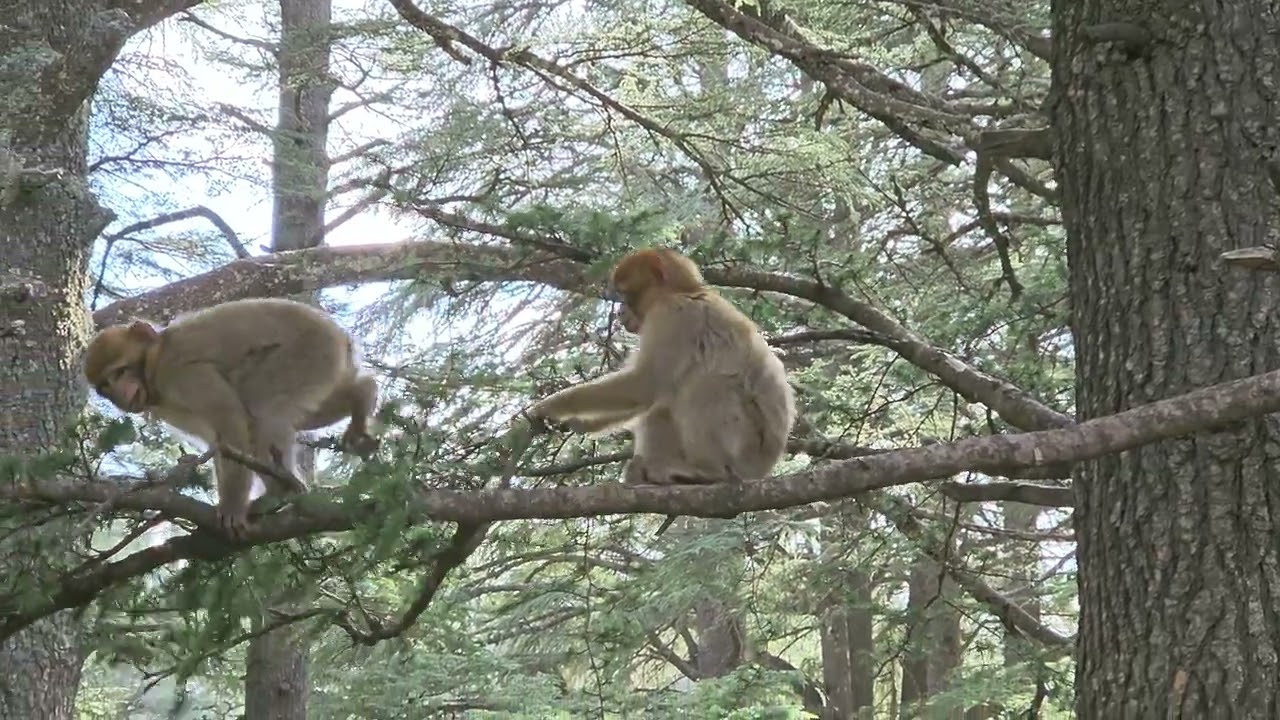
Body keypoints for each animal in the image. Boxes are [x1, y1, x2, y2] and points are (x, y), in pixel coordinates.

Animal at [83, 297, 379, 540]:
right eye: (105, 386)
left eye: (120, 371)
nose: (119, 395)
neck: (154, 363)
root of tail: (342, 337)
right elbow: (217, 442)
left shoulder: (181, 374)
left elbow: (230, 419)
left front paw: (233, 506)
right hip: (325, 365)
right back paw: (362, 393)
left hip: (307, 353)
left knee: (261, 409)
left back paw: (279, 492)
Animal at [530, 247, 796, 532]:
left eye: (623, 294)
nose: (620, 312)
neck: (683, 291)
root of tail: (763, 468)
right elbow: (647, 395)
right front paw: (582, 423)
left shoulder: (671, 315)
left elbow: (645, 384)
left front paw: (552, 405)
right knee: (664, 407)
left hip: (742, 445)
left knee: (700, 385)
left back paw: (709, 472)